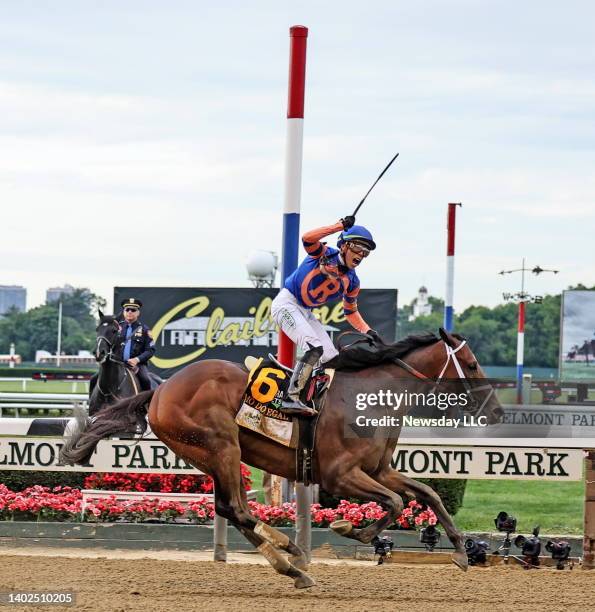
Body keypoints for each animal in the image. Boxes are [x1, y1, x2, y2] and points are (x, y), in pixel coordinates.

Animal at [64, 330, 502, 588]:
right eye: (473, 363)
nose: (497, 412)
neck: (370, 397)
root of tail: (161, 390)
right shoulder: (340, 475)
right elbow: (396, 503)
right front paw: (351, 529)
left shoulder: (379, 470)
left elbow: (427, 493)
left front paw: (461, 552)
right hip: (221, 446)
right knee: (237, 509)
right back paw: (291, 555)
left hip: (208, 455)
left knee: (229, 508)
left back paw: (290, 563)